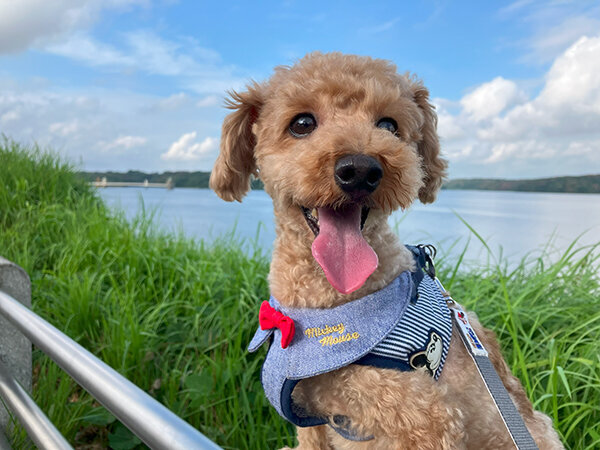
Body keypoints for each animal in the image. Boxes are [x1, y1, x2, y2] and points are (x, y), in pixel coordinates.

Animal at [210, 53, 564, 450]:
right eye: (301, 123)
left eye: (389, 125)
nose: (360, 169)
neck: (329, 304)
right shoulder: (306, 410)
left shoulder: (425, 416)